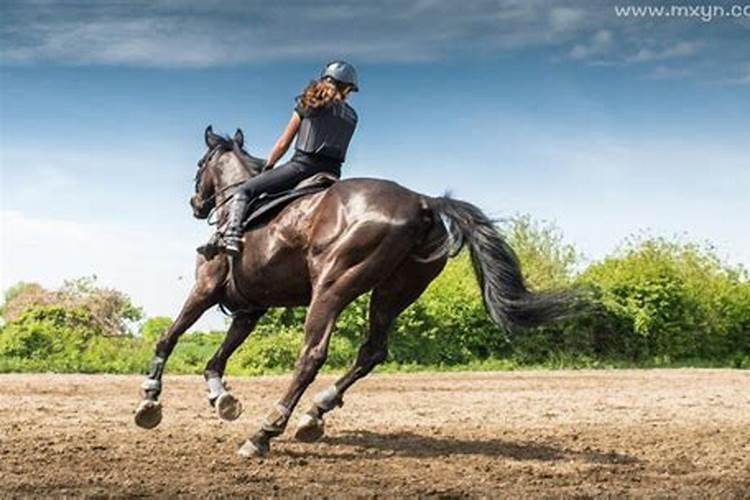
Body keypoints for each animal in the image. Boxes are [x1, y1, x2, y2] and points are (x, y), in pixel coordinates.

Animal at [135, 125, 580, 458]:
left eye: (200, 164)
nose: (196, 203)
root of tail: (422, 202)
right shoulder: (250, 308)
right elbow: (218, 358)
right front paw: (221, 398)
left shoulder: (206, 289)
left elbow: (168, 337)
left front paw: (150, 401)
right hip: (394, 293)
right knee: (372, 352)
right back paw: (314, 414)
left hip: (332, 287)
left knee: (312, 355)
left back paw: (265, 432)